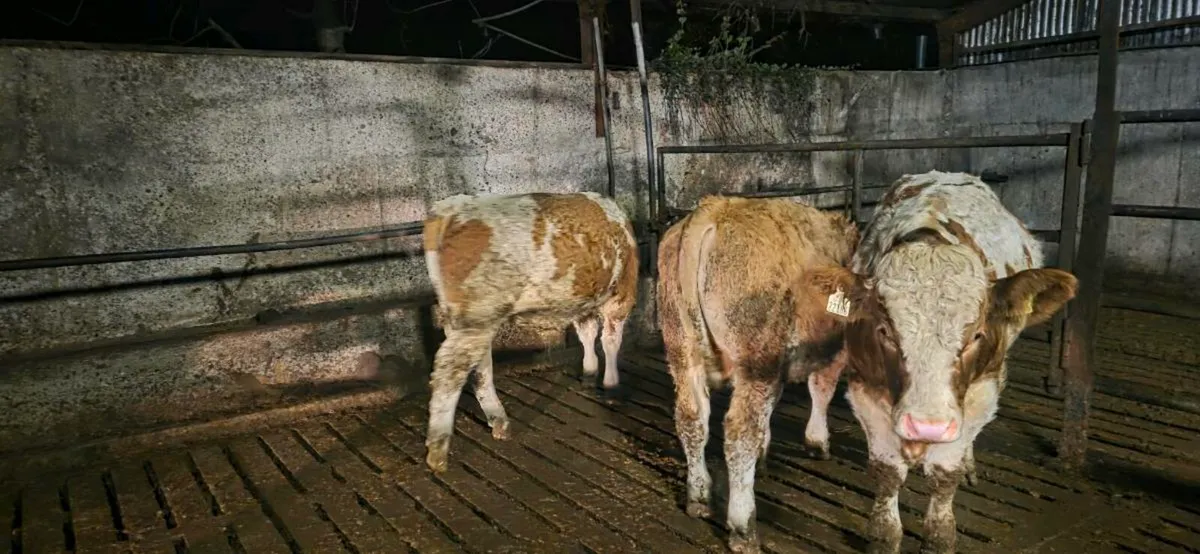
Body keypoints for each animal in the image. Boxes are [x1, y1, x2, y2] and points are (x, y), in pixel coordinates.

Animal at [421, 191, 639, 473]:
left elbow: (588, 334)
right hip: (477, 316)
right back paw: (438, 449)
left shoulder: (585, 302)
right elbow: (611, 340)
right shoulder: (621, 294)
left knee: (480, 367)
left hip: (467, 318)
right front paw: (611, 384)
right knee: (452, 370)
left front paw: (590, 372)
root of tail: (452, 207)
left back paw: (499, 421)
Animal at [657, 195, 860, 553]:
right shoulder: (832, 347)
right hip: (757, 353)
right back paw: (744, 528)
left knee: (692, 417)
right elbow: (822, 388)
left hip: (682, 344)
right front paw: (817, 442)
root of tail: (713, 210)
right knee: (740, 431)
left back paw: (699, 496)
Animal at [803, 170, 1078, 553]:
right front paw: (884, 535)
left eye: (976, 335)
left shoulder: (982, 390)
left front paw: (939, 536)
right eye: (885, 331)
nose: (927, 427)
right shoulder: (865, 387)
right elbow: (888, 471)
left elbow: (946, 474)